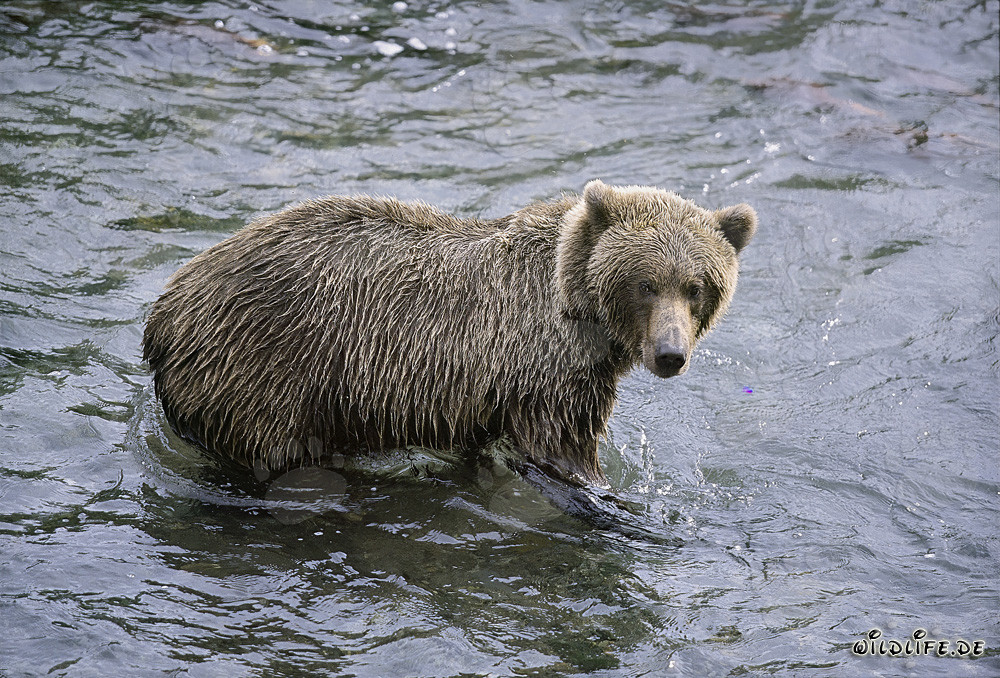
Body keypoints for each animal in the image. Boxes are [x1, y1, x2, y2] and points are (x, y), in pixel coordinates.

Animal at [142, 180, 756, 493]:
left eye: (696, 287)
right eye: (645, 283)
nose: (671, 354)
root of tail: (163, 313)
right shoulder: (547, 375)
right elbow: (564, 452)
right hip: (264, 369)